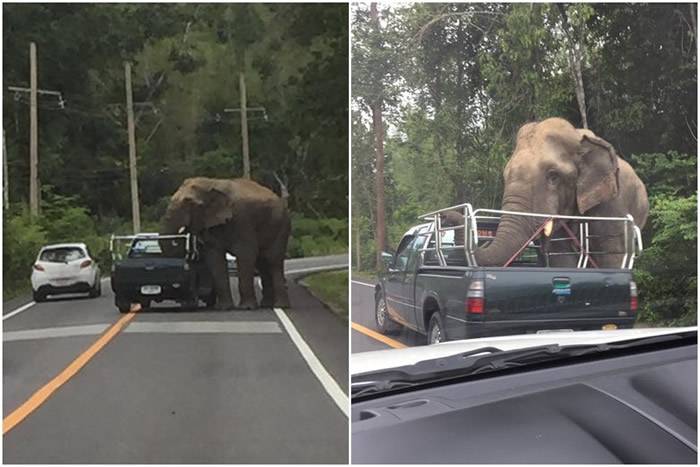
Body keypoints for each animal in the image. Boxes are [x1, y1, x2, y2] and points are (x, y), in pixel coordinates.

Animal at [161, 177, 290, 308]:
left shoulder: (242, 219)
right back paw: (266, 305)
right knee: (262, 262)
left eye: (189, 202)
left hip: (282, 225)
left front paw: (247, 307)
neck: (211, 183)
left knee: (273, 260)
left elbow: (245, 254)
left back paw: (280, 306)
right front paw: (224, 307)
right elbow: (215, 258)